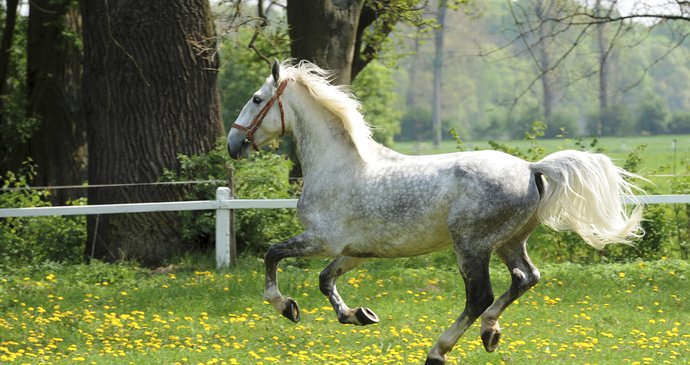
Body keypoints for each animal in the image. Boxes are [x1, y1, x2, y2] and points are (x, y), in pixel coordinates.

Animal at [228, 60, 644, 364]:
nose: (233, 143)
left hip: (471, 246)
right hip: (509, 241)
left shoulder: (321, 240)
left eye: (256, 98)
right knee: (526, 278)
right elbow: (325, 280)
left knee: (479, 296)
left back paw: (438, 351)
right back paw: (490, 333)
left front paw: (287, 307)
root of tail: (531, 169)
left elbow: (272, 255)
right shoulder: (356, 251)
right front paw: (358, 315)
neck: (338, 165)